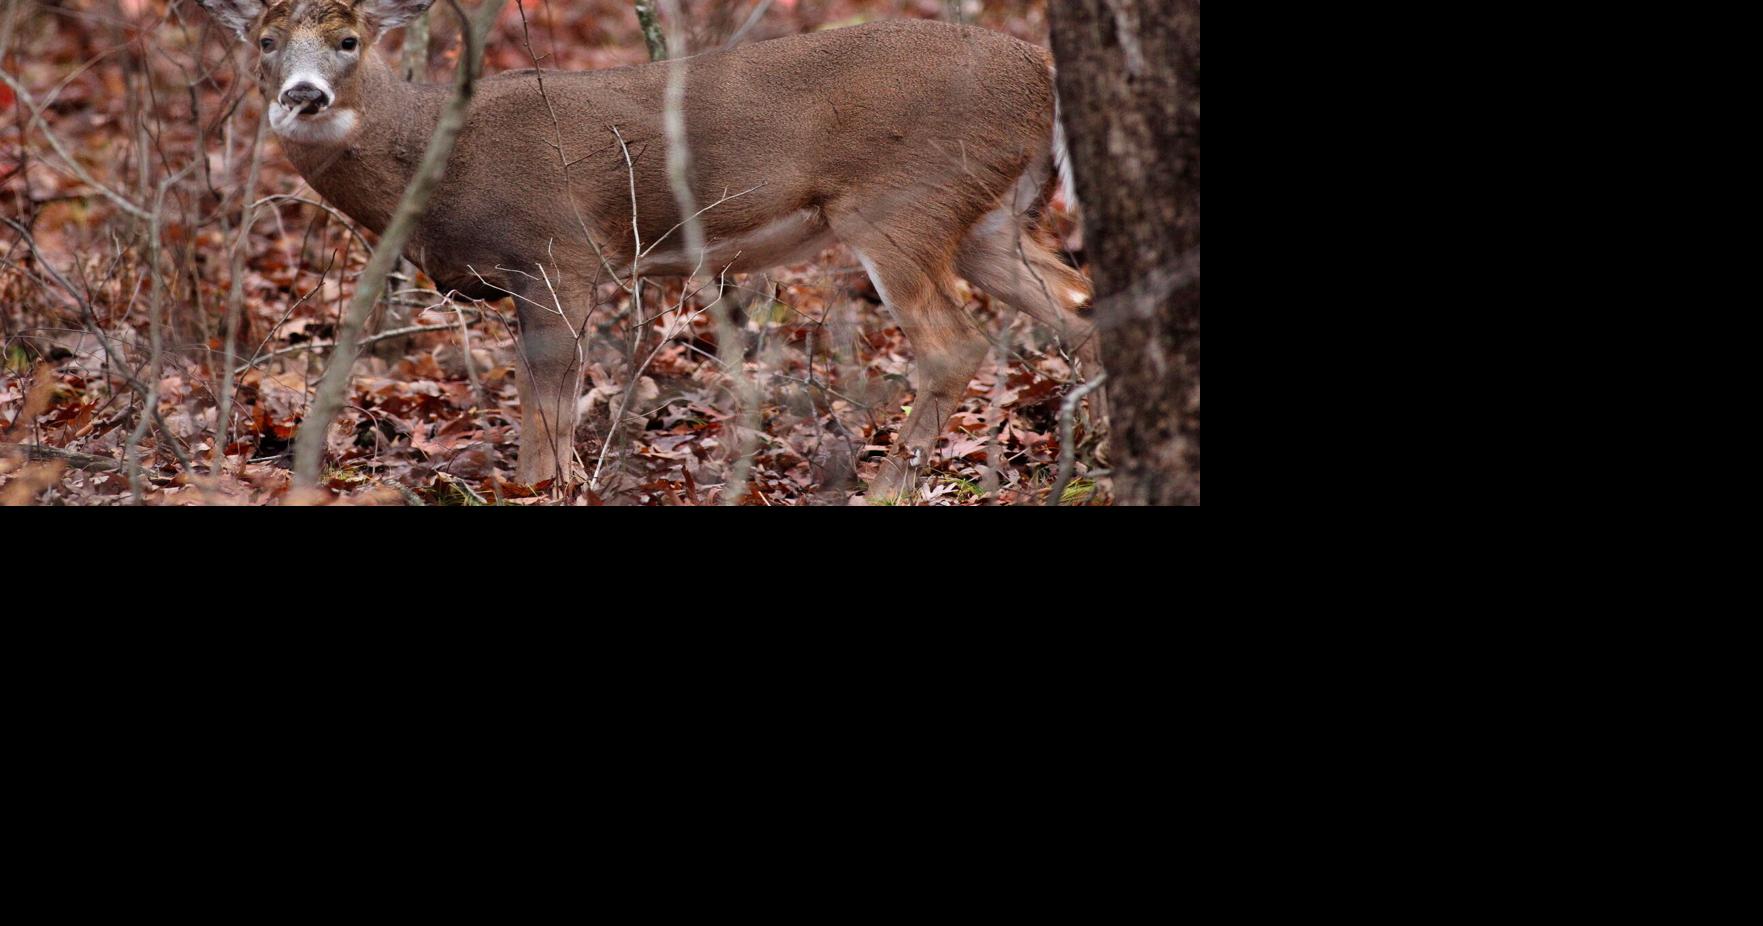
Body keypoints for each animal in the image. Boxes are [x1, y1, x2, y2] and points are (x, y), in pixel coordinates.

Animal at [196, 0, 1105, 500]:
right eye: (266, 42)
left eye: (348, 40)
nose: (303, 97)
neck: (431, 155)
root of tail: (1041, 70)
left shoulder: (559, 250)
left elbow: (547, 408)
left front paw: (543, 489)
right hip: (988, 221)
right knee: (1081, 309)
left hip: (903, 201)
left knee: (955, 344)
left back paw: (883, 490)